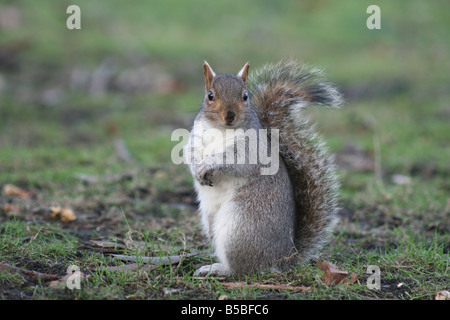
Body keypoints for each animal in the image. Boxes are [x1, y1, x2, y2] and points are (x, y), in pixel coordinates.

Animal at [185, 59, 342, 276]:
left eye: (245, 96)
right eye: (210, 95)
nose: (230, 115)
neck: (222, 129)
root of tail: (283, 258)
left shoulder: (252, 147)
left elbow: (238, 160)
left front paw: (209, 163)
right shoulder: (196, 139)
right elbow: (190, 154)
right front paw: (196, 170)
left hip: (240, 225)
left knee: (243, 268)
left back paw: (218, 269)